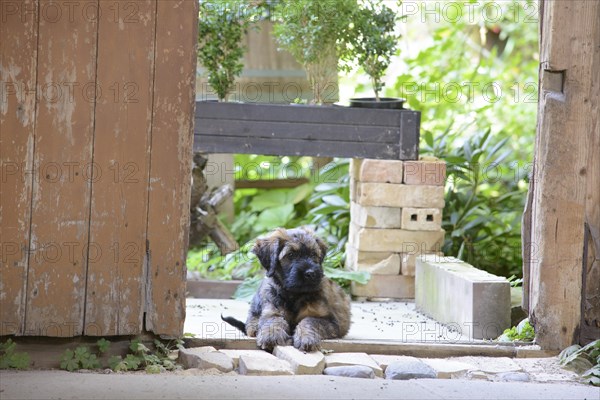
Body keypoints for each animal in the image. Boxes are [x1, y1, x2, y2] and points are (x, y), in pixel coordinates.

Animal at [221, 227, 352, 352]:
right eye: (291, 255)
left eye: (314, 255)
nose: (310, 273)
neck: (294, 294)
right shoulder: (272, 310)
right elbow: (273, 320)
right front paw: (271, 336)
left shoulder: (330, 321)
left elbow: (309, 321)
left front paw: (305, 337)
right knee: (252, 318)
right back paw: (253, 327)